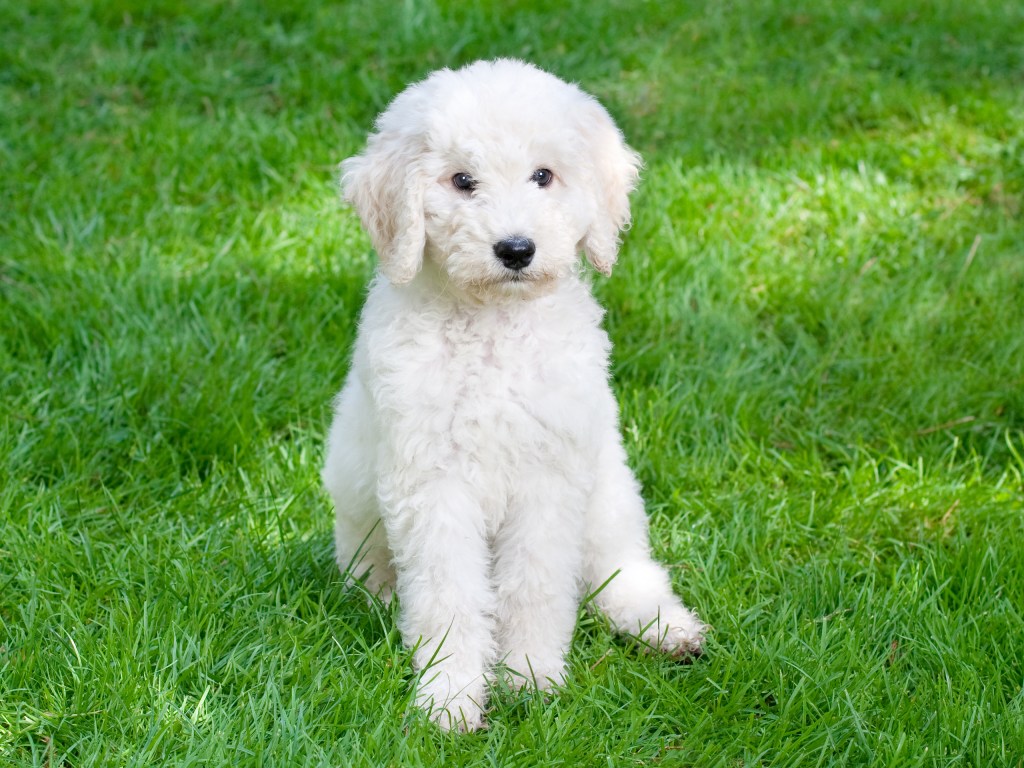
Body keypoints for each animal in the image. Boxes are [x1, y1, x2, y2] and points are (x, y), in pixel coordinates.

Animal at [323, 61, 708, 733]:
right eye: (462, 181)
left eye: (543, 176)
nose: (516, 249)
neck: (493, 326)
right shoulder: (434, 485)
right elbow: (449, 596)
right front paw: (449, 699)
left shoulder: (548, 479)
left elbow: (537, 585)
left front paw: (530, 680)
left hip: (609, 490)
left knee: (622, 569)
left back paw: (665, 628)